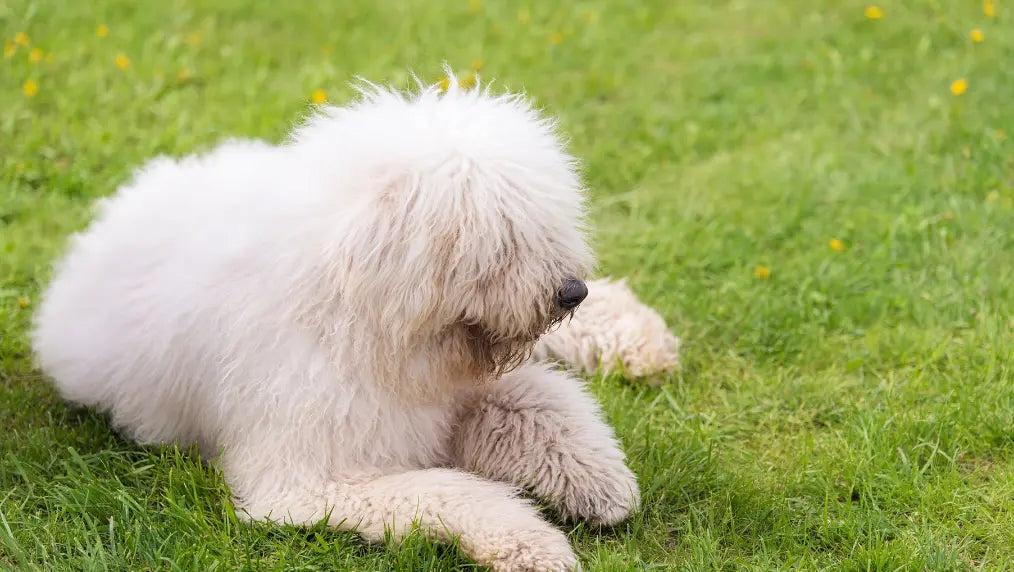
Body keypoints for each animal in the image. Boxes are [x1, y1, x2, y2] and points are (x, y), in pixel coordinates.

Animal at [33, 80, 681, 572]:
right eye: (502, 241)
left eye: (545, 224)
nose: (571, 292)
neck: (362, 317)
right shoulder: (309, 479)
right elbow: (451, 489)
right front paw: (534, 543)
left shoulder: (461, 385)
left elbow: (543, 404)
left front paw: (600, 482)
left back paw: (642, 339)